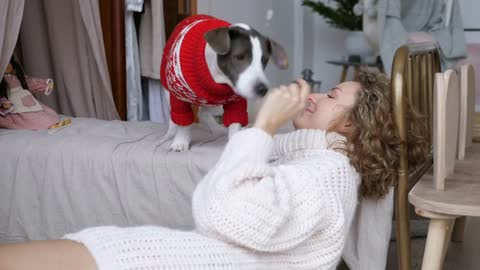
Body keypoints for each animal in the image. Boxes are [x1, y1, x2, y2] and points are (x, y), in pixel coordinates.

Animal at [161, 14, 288, 152]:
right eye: (239, 57)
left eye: (264, 61)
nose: (262, 89)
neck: (218, 78)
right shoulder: (179, 96)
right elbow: (183, 122)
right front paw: (180, 142)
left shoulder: (236, 101)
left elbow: (235, 121)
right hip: (169, 93)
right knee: (175, 116)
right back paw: (170, 133)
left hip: (214, 103)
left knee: (203, 113)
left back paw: (217, 129)